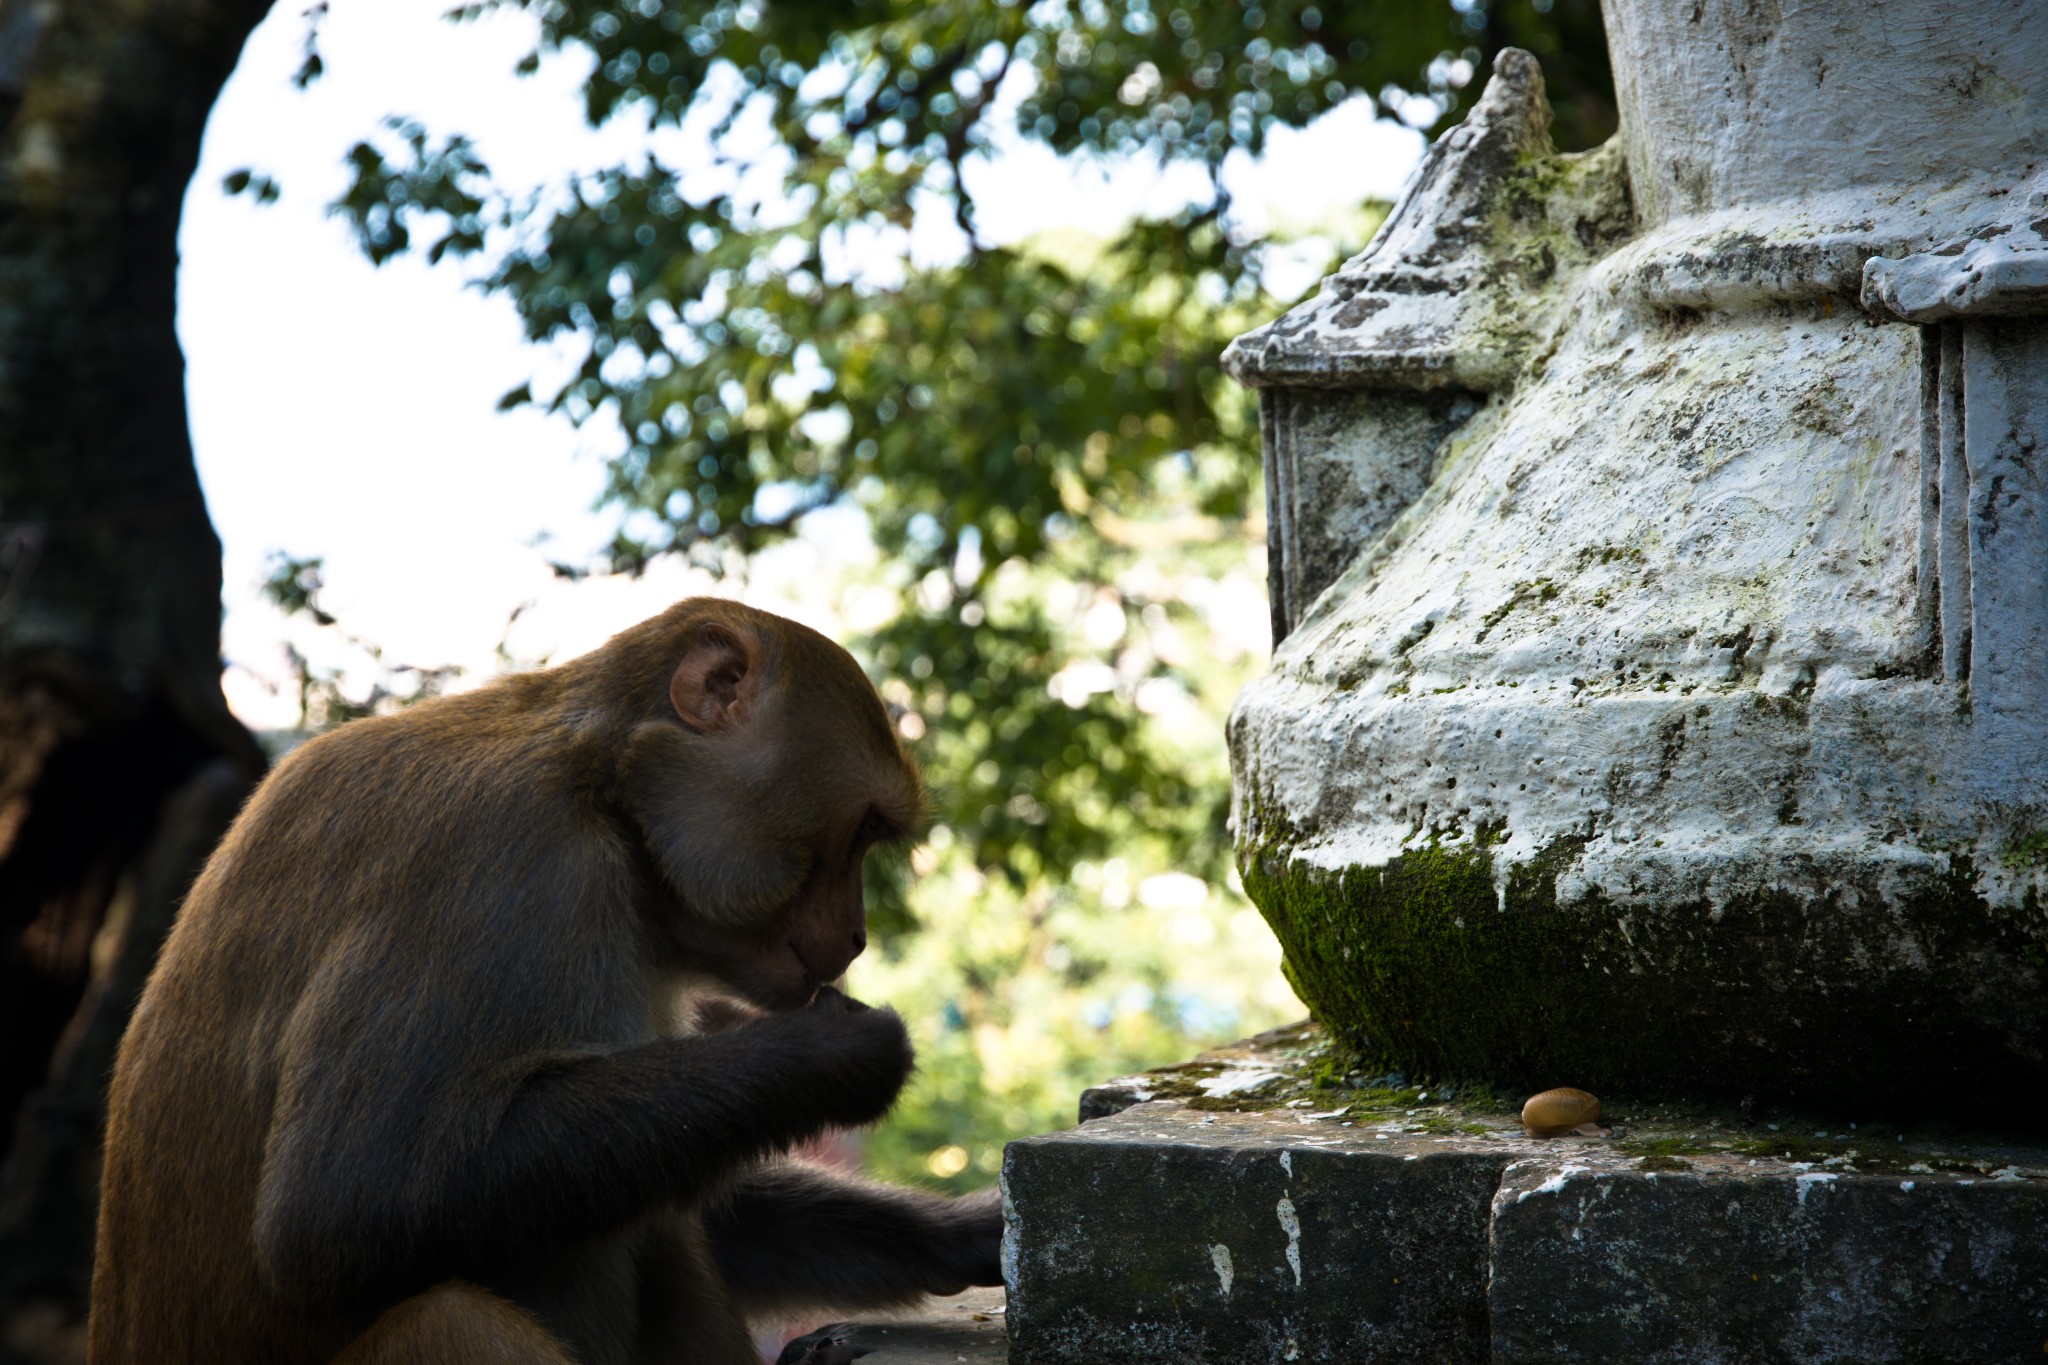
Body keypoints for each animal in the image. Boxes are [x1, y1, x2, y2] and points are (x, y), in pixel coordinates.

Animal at [88, 597, 1007, 1365]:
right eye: (861, 830)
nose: (855, 935)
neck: (602, 788)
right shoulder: (502, 862)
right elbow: (339, 1205)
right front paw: (834, 1053)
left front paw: (967, 1233)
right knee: (454, 1316)